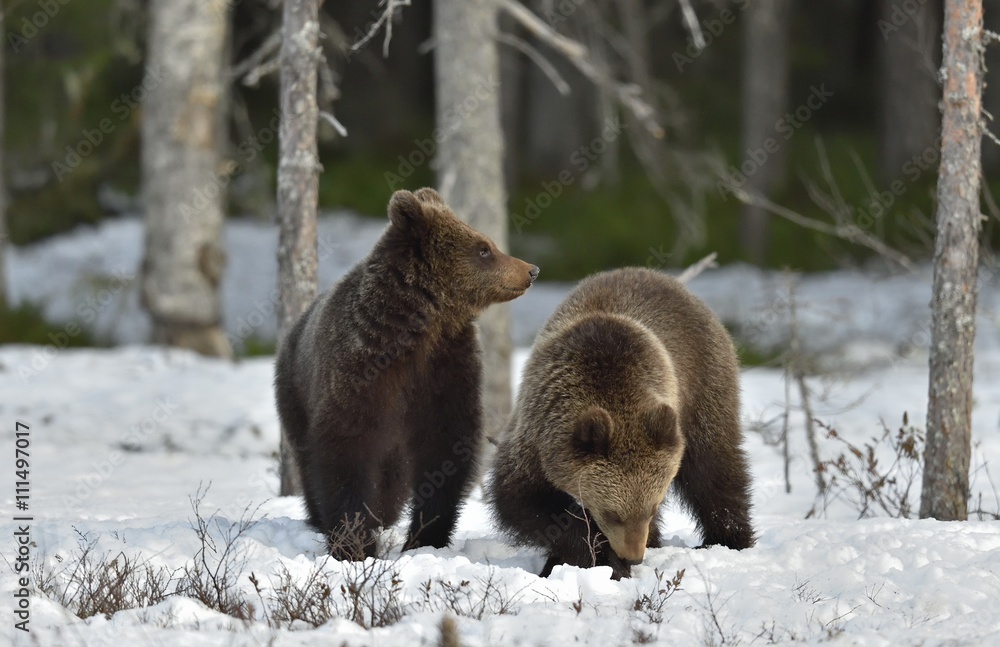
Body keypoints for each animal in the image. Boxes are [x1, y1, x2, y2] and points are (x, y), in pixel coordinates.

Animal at [274, 187, 539, 560]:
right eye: (483, 248)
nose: (531, 270)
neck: (421, 330)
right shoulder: (363, 368)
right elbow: (345, 447)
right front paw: (354, 544)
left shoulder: (445, 370)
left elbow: (445, 447)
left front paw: (425, 536)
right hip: (295, 392)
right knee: (308, 460)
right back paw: (321, 517)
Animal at [486, 266, 754, 580]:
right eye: (613, 514)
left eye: (650, 508)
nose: (634, 555)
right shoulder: (535, 434)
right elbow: (524, 500)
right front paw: (598, 557)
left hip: (704, 384)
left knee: (713, 467)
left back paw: (728, 539)